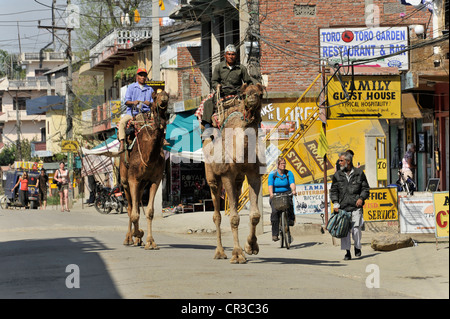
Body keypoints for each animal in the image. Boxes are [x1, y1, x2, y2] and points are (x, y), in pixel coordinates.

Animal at [119, 90, 169, 250]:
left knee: (136, 204)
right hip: (125, 181)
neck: (148, 156)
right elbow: (134, 213)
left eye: (168, 96)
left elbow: (150, 212)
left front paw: (150, 242)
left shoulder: (155, 180)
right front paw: (139, 234)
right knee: (130, 208)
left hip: (141, 184)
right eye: (155, 97)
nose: (163, 99)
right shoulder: (133, 179)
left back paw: (137, 239)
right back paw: (129, 238)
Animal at [202, 83, 266, 264]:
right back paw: (220, 252)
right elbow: (234, 218)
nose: (252, 98)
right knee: (217, 215)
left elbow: (255, 215)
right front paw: (237, 254)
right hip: (213, 178)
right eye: (244, 95)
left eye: (260, 94)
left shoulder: (254, 175)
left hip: (238, 181)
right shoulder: (227, 175)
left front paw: (250, 247)